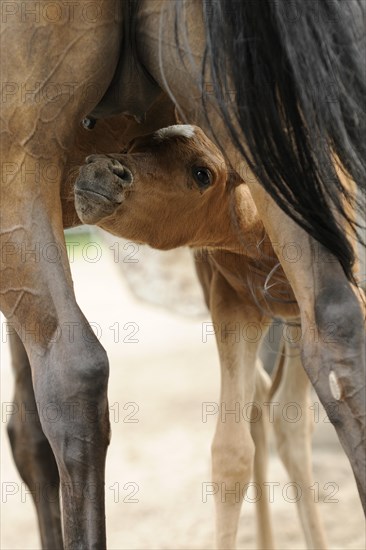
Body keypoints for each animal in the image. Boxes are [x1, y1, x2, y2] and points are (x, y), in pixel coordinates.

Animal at [76, 126, 338, 550]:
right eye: (133, 144)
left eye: (202, 174)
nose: (99, 169)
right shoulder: (233, 304)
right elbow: (231, 452)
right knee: (266, 405)